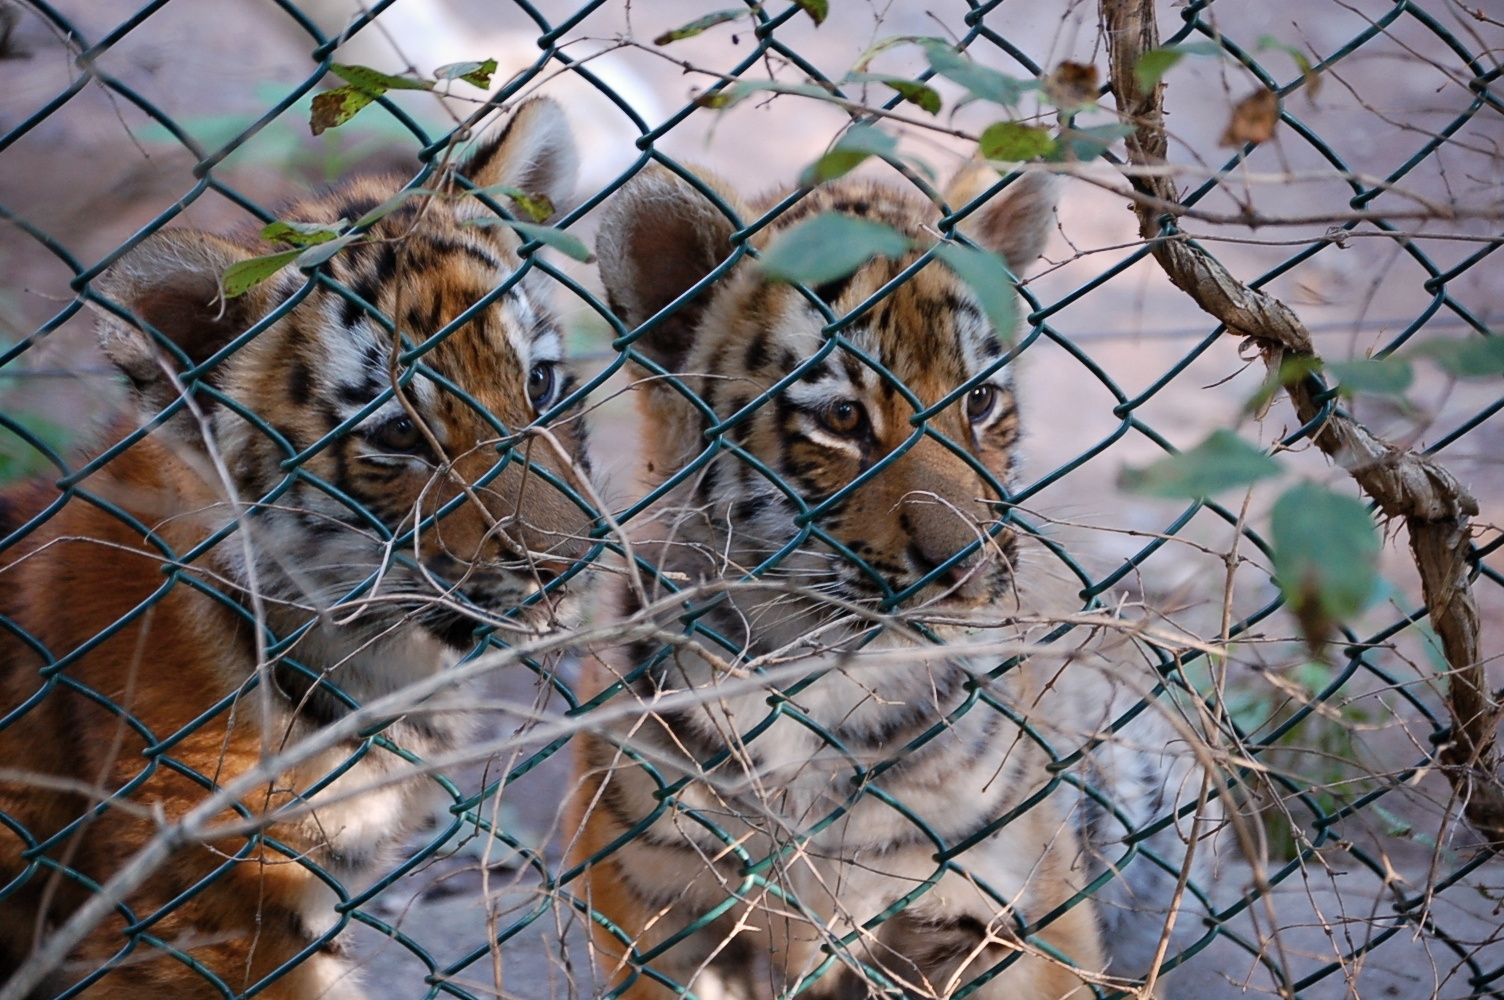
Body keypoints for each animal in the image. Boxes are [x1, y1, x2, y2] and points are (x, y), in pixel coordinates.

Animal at [567, 163, 1233, 1000]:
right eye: (843, 417)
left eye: (979, 399)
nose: (968, 561)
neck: (817, 678)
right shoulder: (659, 918)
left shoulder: (1009, 919)